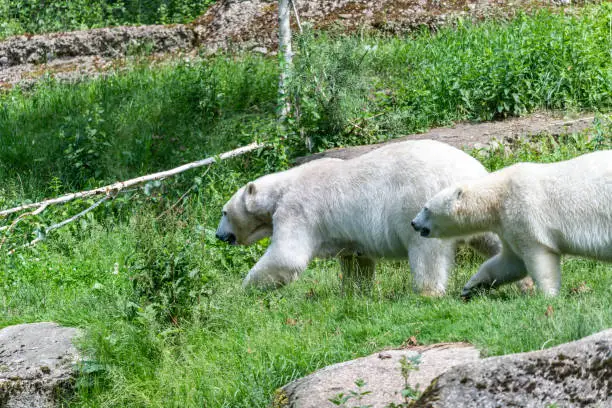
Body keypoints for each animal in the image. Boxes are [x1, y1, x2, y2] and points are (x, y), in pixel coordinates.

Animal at [213, 139, 500, 294]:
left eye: (224, 212)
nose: (219, 234)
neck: (282, 188)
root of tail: (471, 171)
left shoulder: (298, 209)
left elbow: (286, 257)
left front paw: (242, 289)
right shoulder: (347, 236)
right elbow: (355, 262)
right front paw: (353, 293)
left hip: (425, 207)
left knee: (426, 252)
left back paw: (427, 292)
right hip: (478, 203)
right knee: (493, 236)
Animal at [412, 150, 612, 296]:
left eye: (426, 208)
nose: (413, 223)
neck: (498, 195)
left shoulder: (524, 213)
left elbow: (539, 257)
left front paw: (547, 295)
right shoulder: (507, 226)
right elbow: (510, 263)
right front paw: (470, 287)